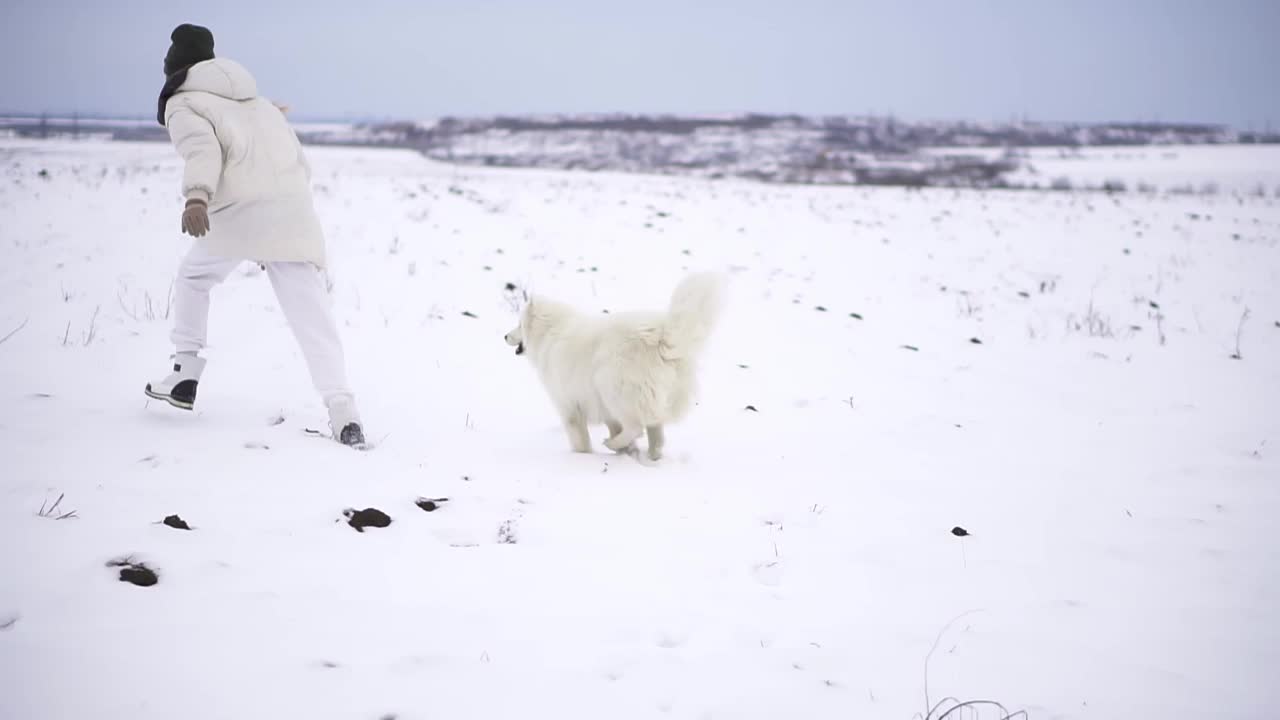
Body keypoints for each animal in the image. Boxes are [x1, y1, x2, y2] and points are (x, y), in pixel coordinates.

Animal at [504, 271, 727, 456]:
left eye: (519, 324)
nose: (505, 336)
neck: (549, 332)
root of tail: (662, 336)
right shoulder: (600, 407)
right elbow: (613, 425)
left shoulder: (568, 404)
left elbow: (579, 438)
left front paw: (581, 456)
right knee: (655, 432)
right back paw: (650, 456)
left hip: (612, 388)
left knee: (636, 427)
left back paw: (613, 444)